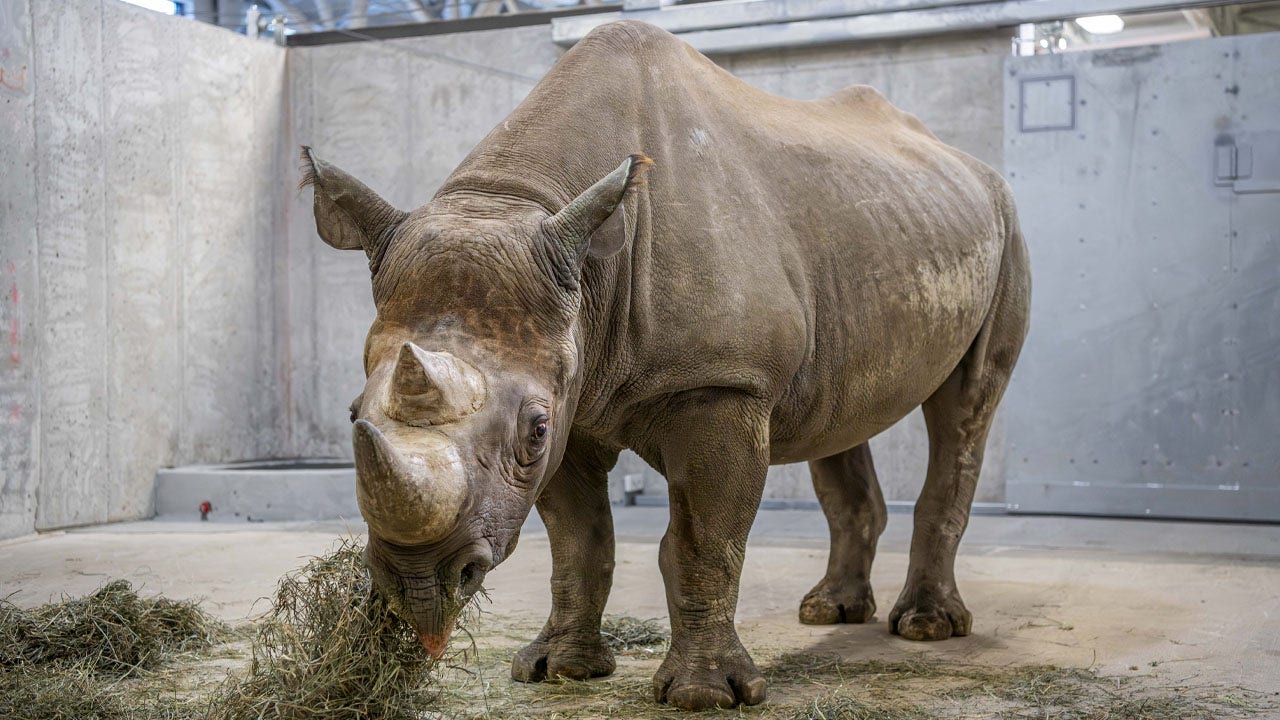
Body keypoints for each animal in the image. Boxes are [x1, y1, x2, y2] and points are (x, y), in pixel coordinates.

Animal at [301, 20, 1029, 711]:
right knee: (838, 413)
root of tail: (970, 164)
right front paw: (558, 669)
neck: (528, 203)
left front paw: (704, 695)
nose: (418, 582)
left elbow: (701, 542)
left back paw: (926, 627)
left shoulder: (720, 383)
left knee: (967, 405)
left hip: (1006, 225)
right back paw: (830, 612)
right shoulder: (577, 392)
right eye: (353, 414)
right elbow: (580, 540)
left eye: (534, 430)